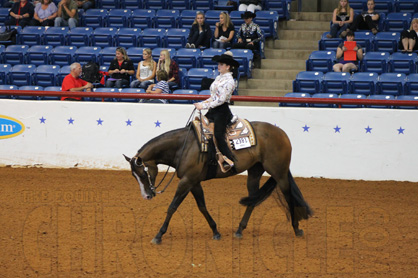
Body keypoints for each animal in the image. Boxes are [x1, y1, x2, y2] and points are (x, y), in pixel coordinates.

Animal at [122, 120, 312, 244]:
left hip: (279, 172)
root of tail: (282, 134)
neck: (184, 147)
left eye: (143, 173)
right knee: (252, 199)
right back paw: (239, 230)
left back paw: (296, 228)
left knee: (288, 195)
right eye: (133, 176)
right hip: (255, 171)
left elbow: (172, 207)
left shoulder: (186, 181)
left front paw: (158, 235)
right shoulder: (193, 182)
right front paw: (215, 231)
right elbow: (202, 206)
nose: (147, 195)